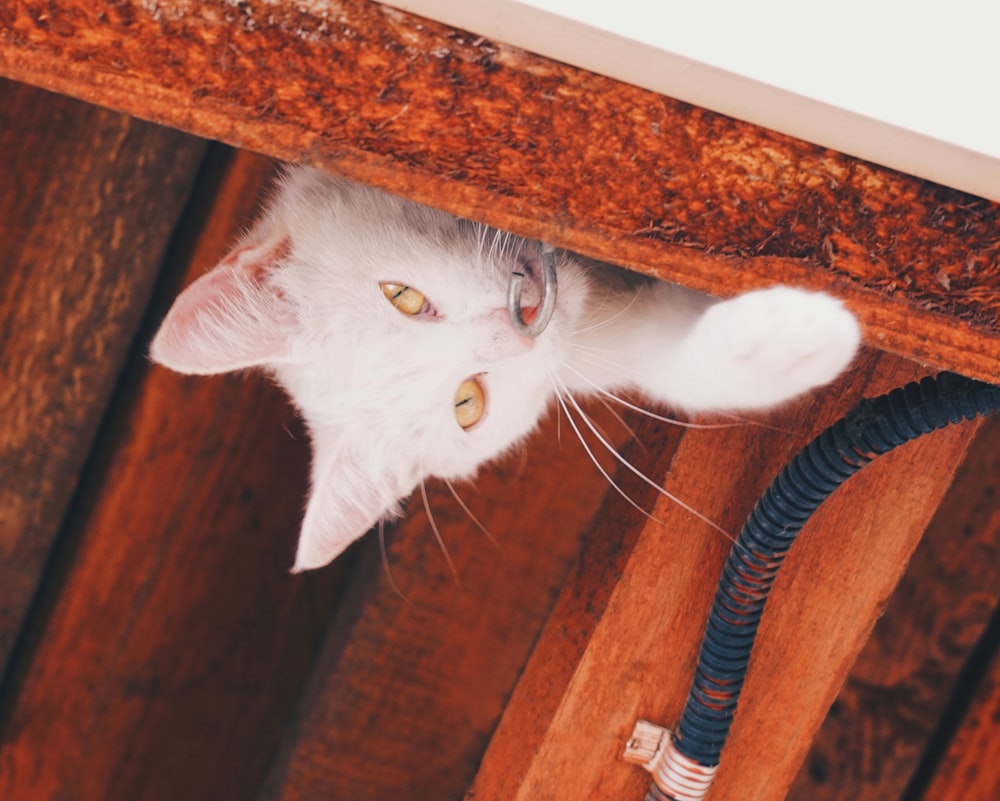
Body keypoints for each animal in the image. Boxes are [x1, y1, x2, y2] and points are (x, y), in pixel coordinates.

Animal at [148, 166, 860, 572]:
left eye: (402, 297)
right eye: (470, 404)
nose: (522, 318)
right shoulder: (582, 351)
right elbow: (665, 361)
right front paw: (794, 342)